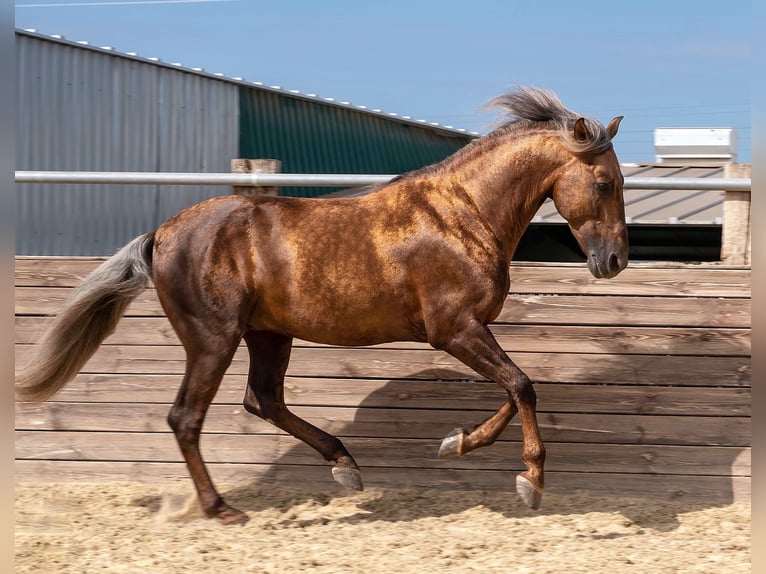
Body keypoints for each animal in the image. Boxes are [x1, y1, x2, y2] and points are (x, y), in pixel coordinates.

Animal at [15, 86, 632, 528]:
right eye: (604, 183)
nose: (615, 261)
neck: (463, 212)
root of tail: (161, 235)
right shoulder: (453, 328)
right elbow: (522, 385)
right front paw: (531, 482)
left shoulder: (466, 331)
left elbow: (513, 389)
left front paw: (458, 442)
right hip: (213, 339)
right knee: (187, 417)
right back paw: (223, 509)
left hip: (268, 334)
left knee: (262, 399)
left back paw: (345, 466)